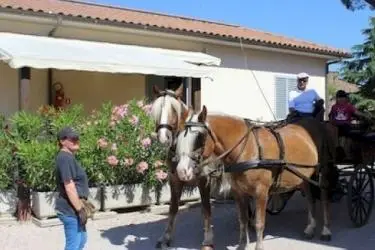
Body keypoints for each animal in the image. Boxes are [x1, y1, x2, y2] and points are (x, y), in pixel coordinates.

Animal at [149, 85, 226, 249]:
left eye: (173, 110)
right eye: (157, 110)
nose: (163, 137)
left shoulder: (204, 180)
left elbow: (206, 208)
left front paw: (208, 239)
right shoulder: (174, 180)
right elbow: (173, 208)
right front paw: (166, 236)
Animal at [175, 106, 336, 250]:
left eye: (199, 137)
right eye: (179, 137)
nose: (182, 171)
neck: (247, 149)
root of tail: (316, 123)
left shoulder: (261, 193)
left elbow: (259, 222)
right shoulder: (239, 193)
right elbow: (243, 220)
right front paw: (242, 245)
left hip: (323, 171)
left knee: (324, 196)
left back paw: (326, 230)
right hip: (304, 176)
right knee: (310, 198)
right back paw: (310, 227)